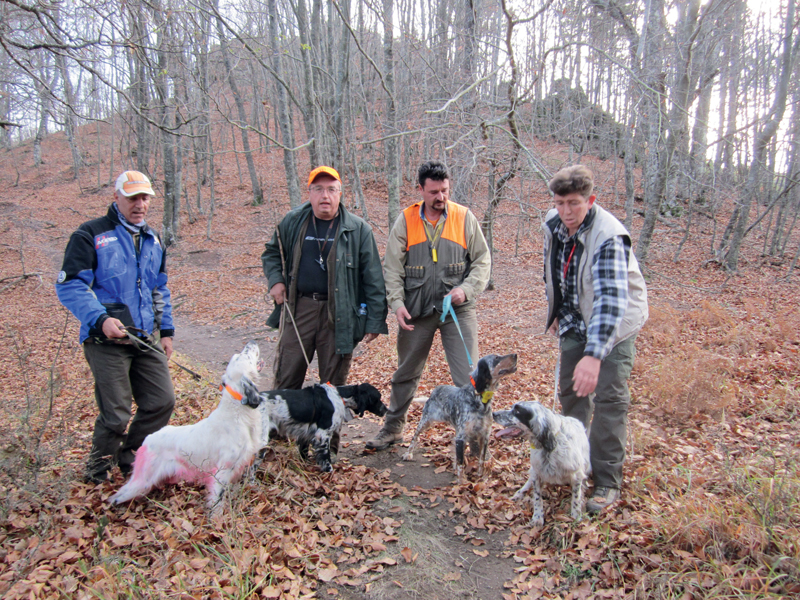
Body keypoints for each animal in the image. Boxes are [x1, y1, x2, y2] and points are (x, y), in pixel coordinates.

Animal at [109, 340, 268, 512]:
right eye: (245, 355)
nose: (252, 341)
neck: (237, 409)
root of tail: (148, 439)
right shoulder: (222, 471)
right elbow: (217, 502)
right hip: (142, 481)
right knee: (116, 497)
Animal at [258, 382, 386, 472]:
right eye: (378, 398)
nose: (386, 410)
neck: (340, 396)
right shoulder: (322, 434)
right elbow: (325, 456)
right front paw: (329, 471)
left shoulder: (306, 434)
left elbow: (304, 452)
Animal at [404, 352, 516, 482]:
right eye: (496, 358)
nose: (515, 355)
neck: (480, 400)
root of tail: (434, 391)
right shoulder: (461, 437)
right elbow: (461, 463)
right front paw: (462, 482)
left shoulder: (484, 435)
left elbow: (481, 460)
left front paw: (480, 477)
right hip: (426, 421)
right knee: (415, 437)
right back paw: (408, 453)